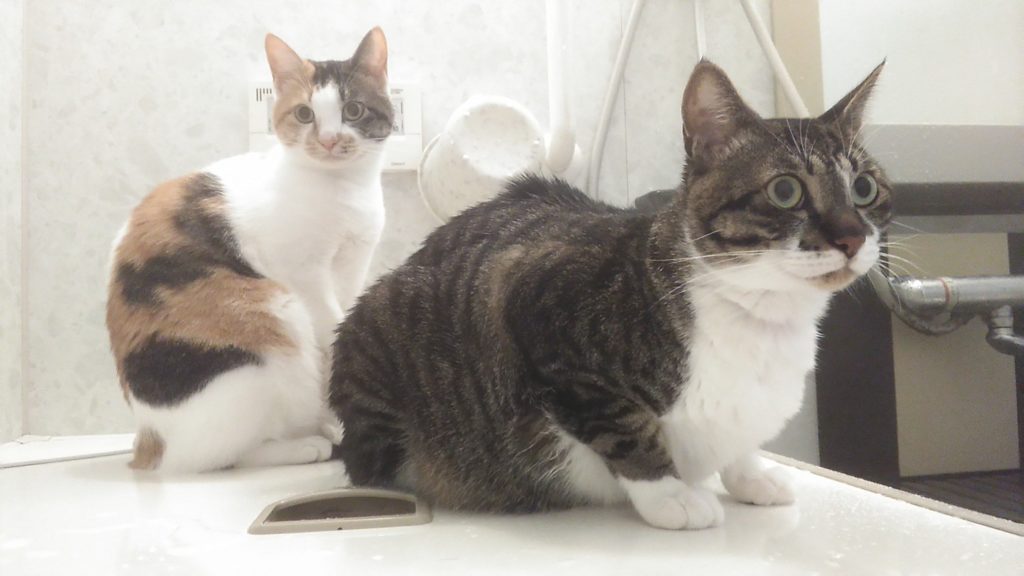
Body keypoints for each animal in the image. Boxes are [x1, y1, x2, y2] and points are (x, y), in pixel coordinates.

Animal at [106, 28, 393, 472]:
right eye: (305, 114)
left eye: (354, 110)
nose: (329, 140)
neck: (344, 190)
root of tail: (149, 440)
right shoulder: (303, 273)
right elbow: (332, 326)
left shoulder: (351, 266)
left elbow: (344, 319)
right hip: (278, 315)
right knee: (222, 456)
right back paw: (306, 446)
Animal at [329, 59, 890, 529]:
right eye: (785, 191)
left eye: (865, 188)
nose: (852, 237)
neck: (761, 316)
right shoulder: (534, 305)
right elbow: (623, 426)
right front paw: (671, 496)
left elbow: (737, 439)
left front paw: (749, 473)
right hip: (379, 334)